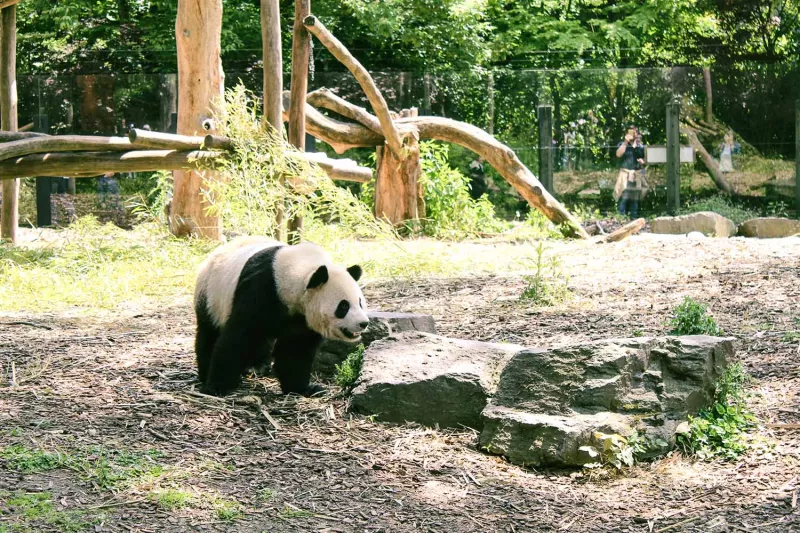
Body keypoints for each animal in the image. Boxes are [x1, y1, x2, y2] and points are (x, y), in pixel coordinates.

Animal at [194, 236, 368, 394]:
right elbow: (239, 335)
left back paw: (256, 367)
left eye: (360, 302)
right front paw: (218, 386)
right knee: (209, 332)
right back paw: (207, 372)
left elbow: (296, 349)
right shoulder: (260, 288)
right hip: (210, 294)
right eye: (343, 306)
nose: (363, 323)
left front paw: (304, 388)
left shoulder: (302, 318)